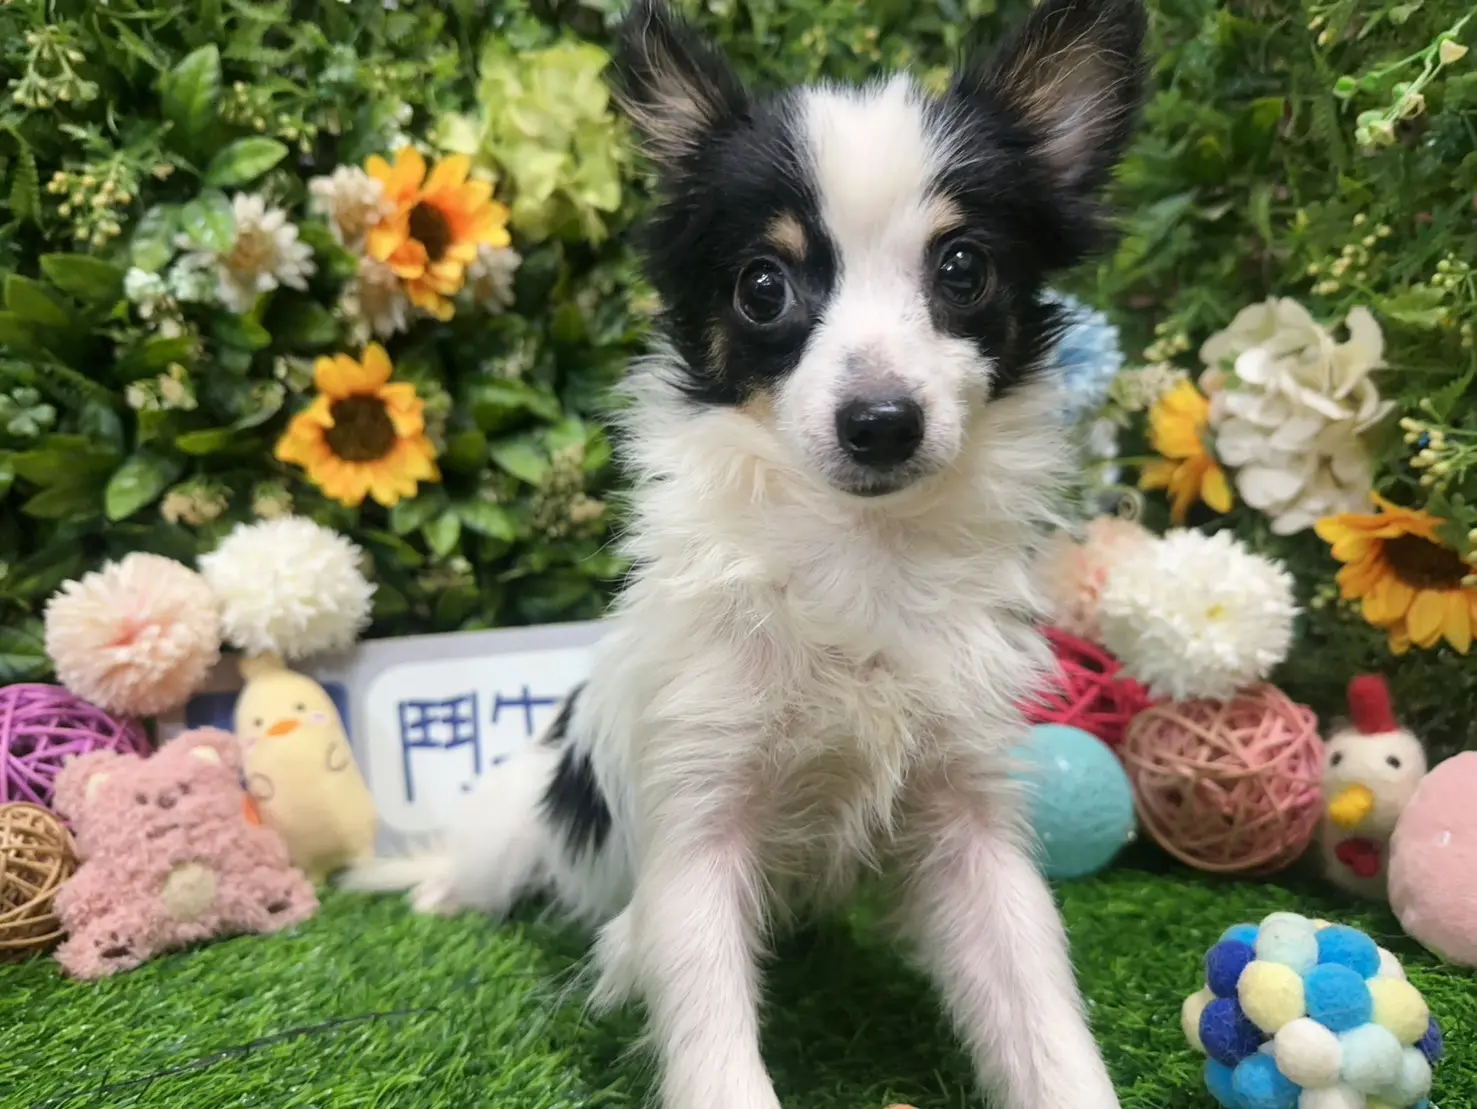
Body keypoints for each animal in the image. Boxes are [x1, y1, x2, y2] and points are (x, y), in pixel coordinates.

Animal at [341, 1, 1147, 1106]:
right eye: (761, 287)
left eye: (963, 270)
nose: (880, 423)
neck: (859, 550)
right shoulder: (696, 826)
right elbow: (712, 1037)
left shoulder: (969, 819)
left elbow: (1040, 1012)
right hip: (518, 824)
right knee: (485, 860)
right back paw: (432, 885)